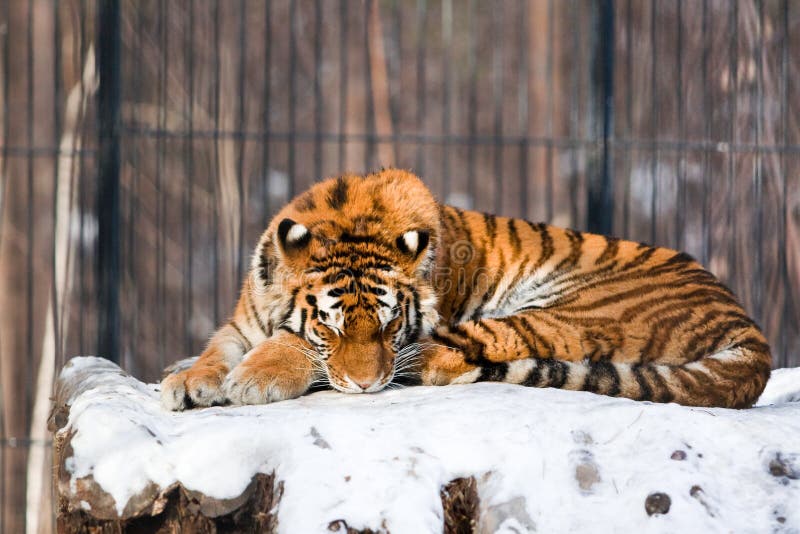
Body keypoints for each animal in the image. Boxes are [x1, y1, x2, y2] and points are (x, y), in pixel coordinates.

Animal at [161, 170, 768, 412]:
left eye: (388, 323)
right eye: (330, 324)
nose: (366, 385)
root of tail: (750, 329)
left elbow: (291, 346)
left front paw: (255, 378)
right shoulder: (240, 323)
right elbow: (216, 351)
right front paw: (187, 382)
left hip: (561, 310)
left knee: (454, 355)